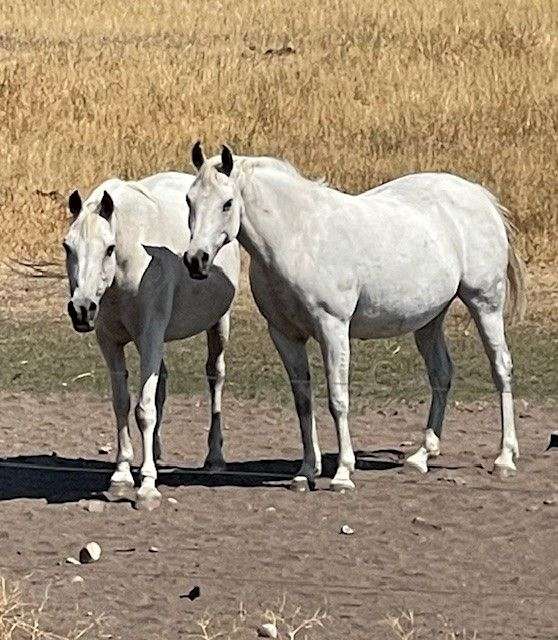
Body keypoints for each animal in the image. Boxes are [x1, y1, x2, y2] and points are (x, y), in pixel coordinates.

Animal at [63, 171, 241, 510]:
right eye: (67, 247)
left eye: (109, 248)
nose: (81, 309)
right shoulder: (110, 342)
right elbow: (122, 404)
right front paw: (121, 477)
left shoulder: (149, 336)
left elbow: (144, 410)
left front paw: (146, 487)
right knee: (163, 382)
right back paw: (155, 452)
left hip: (217, 325)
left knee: (216, 376)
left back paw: (214, 457)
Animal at [184, 145, 524, 492]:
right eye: (189, 200)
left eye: (227, 203)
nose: (195, 260)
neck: (298, 237)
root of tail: (479, 195)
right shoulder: (285, 335)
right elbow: (303, 401)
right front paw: (305, 472)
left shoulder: (333, 328)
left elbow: (338, 399)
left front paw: (343, 475)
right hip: (429, 320)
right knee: (441, 374)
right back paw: (421, 457)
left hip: (485, 304)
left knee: (501, 369)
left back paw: (504, 459)